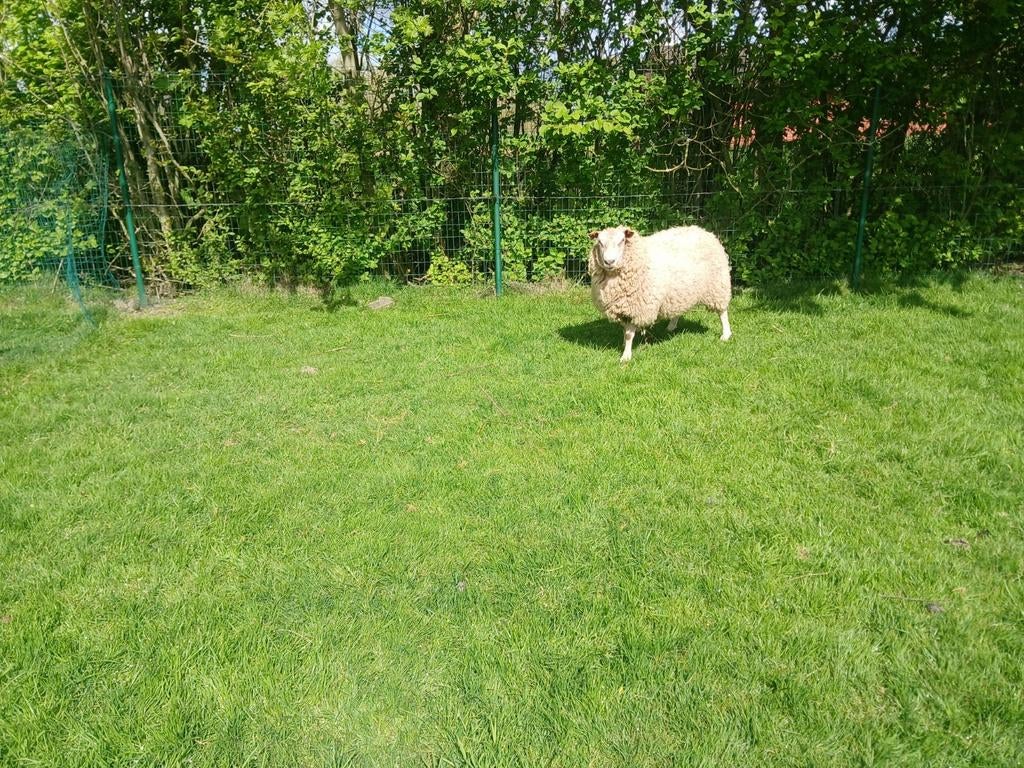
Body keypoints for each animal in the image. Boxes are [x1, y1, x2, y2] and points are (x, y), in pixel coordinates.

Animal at [588, 225, 732, 363]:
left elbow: (629, 334)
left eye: (622, 241)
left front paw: (626, 356)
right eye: (600, 242)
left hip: (718, 286)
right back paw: (671, 327)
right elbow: (625, 331)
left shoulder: (637, 308)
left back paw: (725, 334)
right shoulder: (623, 308)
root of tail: (704, 231)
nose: (609, 262)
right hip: (678, 292)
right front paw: (624, 345)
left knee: (722, 312)